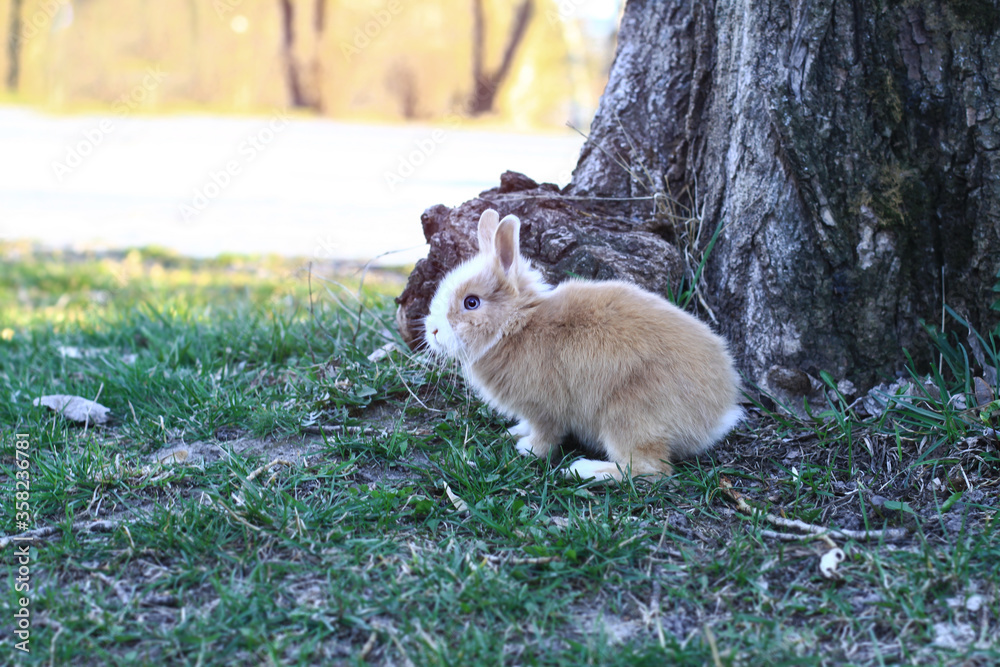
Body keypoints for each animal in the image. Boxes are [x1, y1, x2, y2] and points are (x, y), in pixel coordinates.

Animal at [423, 209, 744, 482]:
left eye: (471, 302)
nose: (433, 331)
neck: (517, 324)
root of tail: (717, 415)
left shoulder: (546, 409)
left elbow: (546, 437)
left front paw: (527, 449)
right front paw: (515, 432)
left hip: (628, 417)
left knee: (647, 469)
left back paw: (582, 469)